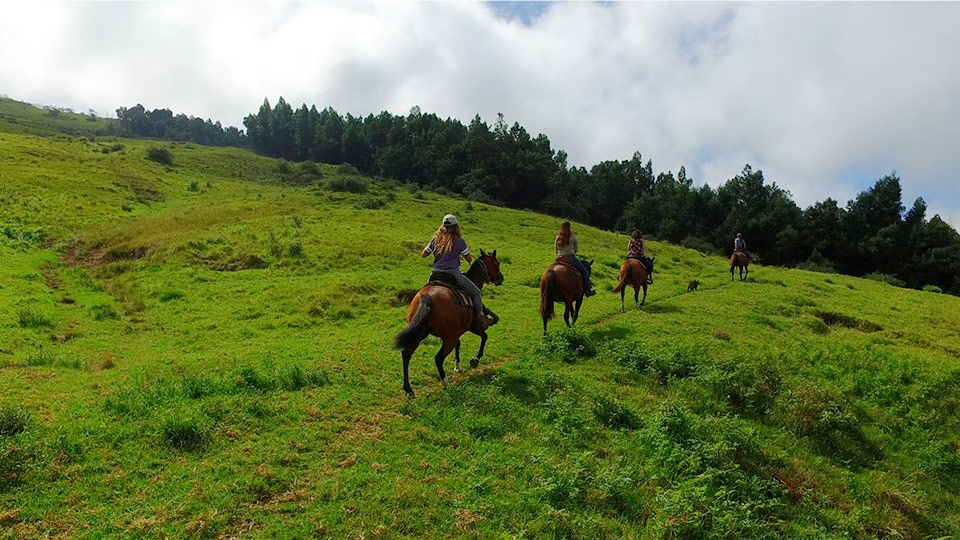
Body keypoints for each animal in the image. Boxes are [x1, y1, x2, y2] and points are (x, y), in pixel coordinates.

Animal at [396, 249, 506, 396]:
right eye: (497, 263)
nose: (501, 278)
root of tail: (426, 297)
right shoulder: (473, 327)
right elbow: (484, 337)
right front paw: (475, 360)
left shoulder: (456, 331)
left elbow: (459, 345)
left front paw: (457, 366)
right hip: (448, 338)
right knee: (438, 358)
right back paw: (445, 382)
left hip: (419, 333)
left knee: (406, 354)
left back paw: (408, 390)